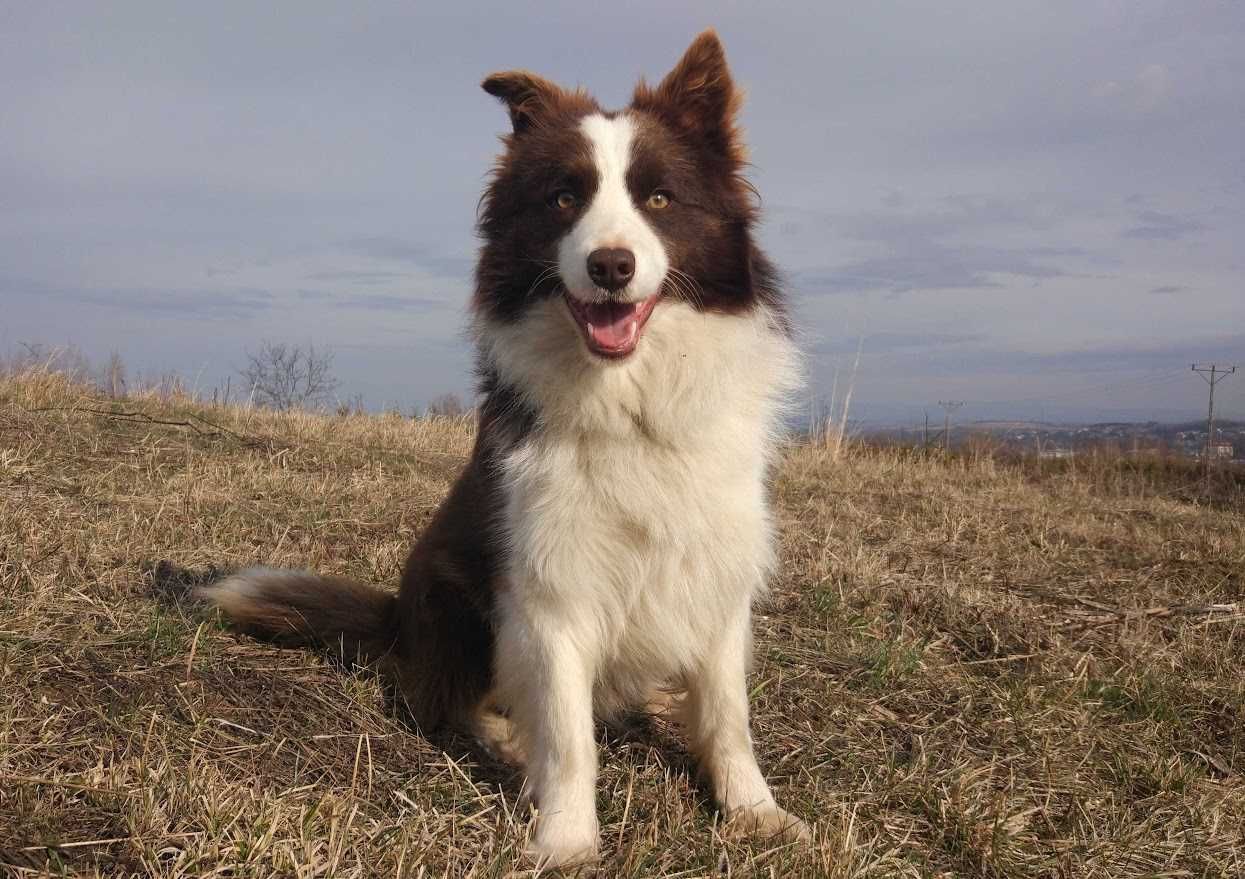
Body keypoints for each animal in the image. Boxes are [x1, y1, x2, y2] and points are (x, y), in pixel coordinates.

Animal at [199, 25, 801, 861]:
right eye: (563, 198)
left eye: (658, 198)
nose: (609, 265)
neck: (629, 401)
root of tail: (398, 616)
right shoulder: (548, 584)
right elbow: (570, 734)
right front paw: (567, 840)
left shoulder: (716, 569)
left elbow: (727, 713)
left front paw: (754, 810)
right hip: (455, 595)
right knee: (450, 698)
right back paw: (511, 739)